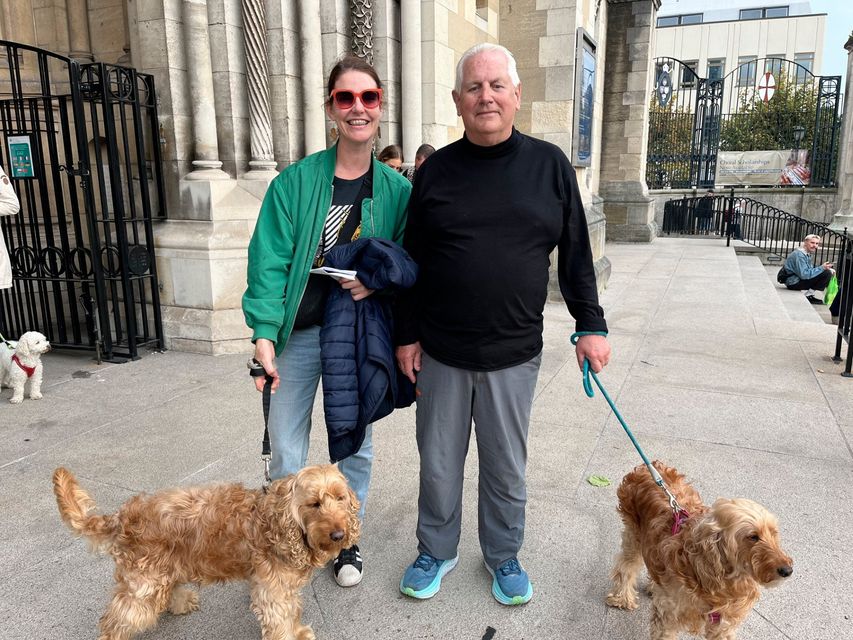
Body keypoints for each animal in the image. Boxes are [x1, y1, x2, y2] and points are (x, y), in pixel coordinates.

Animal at [53, 464, 360, 640]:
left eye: (340, 498)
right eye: (314, 504)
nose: (339, 534)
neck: (278, 520)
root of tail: (121, 517)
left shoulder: (283, 589)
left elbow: (292, 612)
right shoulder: (273, 592)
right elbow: (281, 619)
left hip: (163, 569)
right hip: (144, 583)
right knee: (115, 620)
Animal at [604, 462, 792, 636]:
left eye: (774, 533)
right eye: (753, 537)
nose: (787, 570)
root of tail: (648, 466)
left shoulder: (723, 625)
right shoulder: (667, 616)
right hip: (633, 534)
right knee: (626, 566)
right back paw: (623, 598)